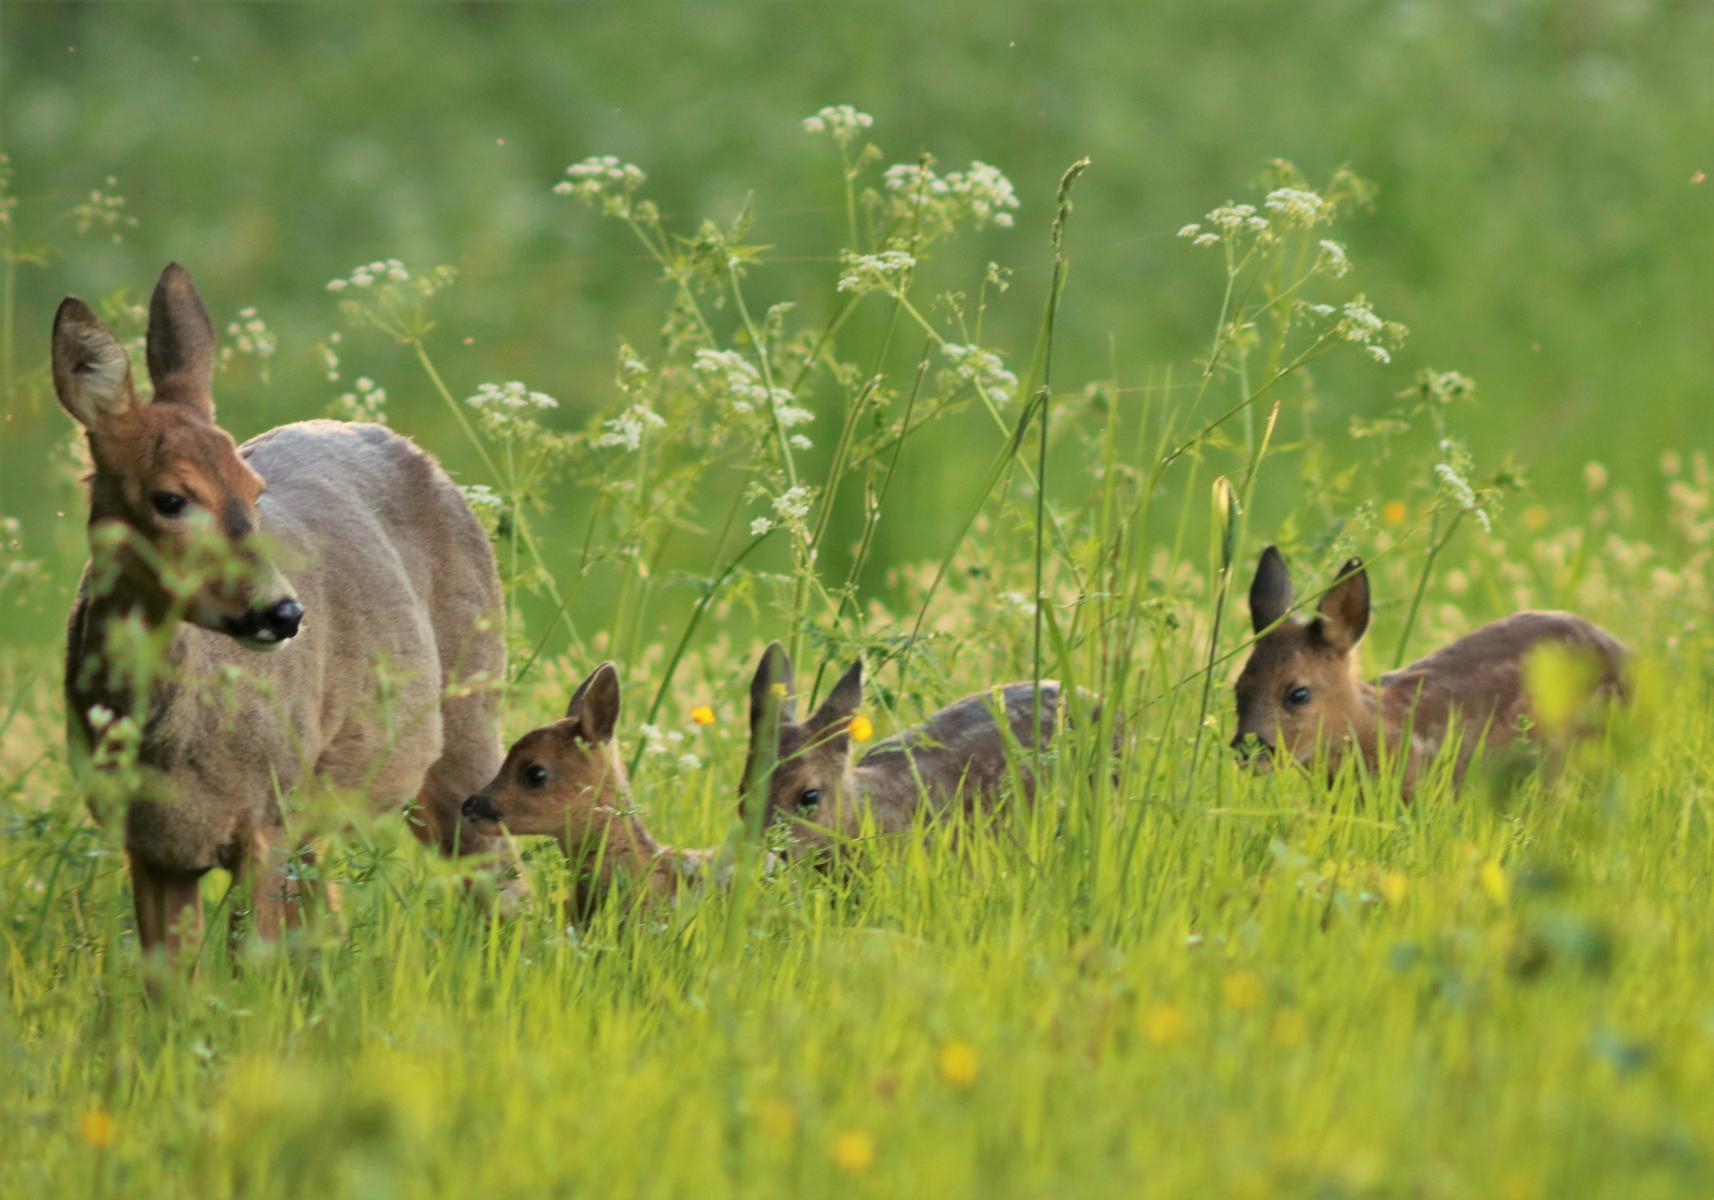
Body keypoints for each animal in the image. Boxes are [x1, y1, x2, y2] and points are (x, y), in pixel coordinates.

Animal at [58, 262, 507, 953]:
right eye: (170, 498)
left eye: (254, 490)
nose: (283, 613)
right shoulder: (152, 847)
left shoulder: (266, 814)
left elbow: (254, 964)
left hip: (468, 710)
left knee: (505, 882)